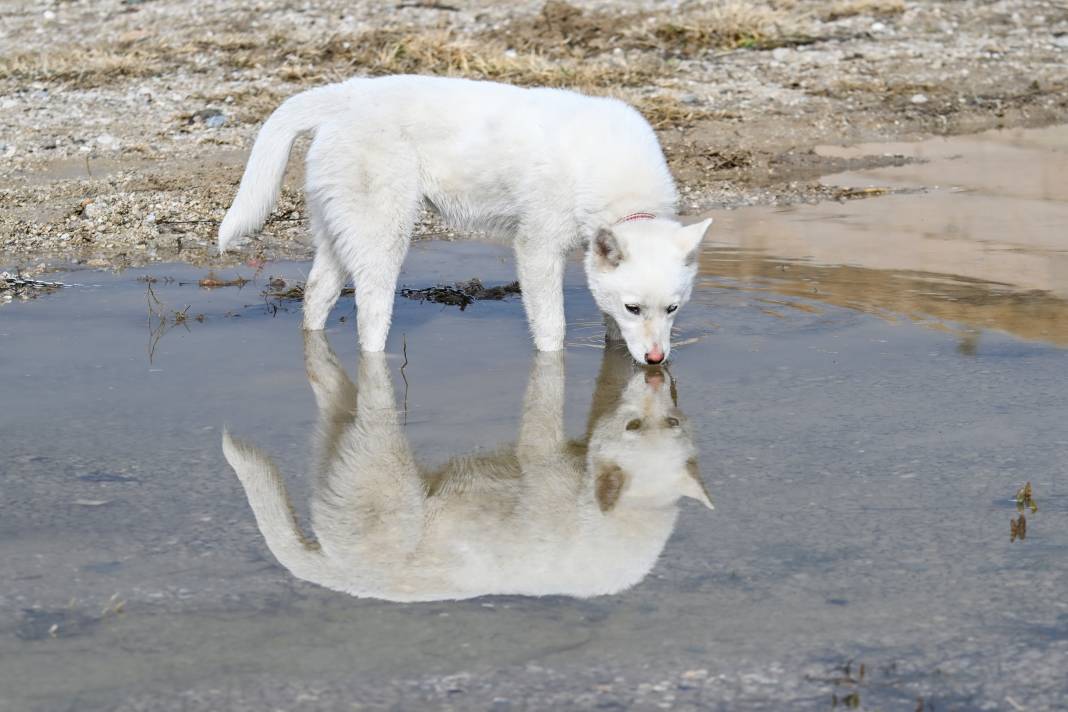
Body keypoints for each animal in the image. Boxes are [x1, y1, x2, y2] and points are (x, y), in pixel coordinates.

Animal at [217, 75, 713, 365]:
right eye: (635, 308)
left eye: (672, 309)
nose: (656, 361)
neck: (618, 185)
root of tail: (342, 97)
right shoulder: (538, 250)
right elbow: (552, 331)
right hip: (383, 236)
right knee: (369, 318)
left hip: (339, 229)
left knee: (316, 294)